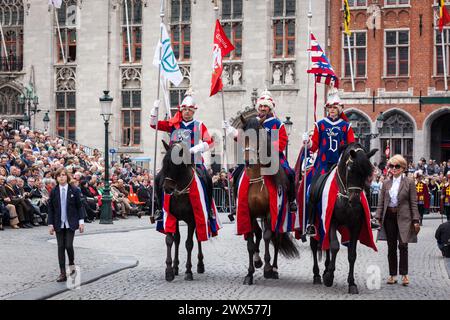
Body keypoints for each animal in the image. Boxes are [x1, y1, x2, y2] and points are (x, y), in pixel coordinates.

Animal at [155, 141, 209, 282]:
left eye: (175, 165)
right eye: (164, 163)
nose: (167, 188)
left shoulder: (192, 220)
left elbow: (189, 243)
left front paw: (188, 271)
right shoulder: (171, 217)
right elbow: (170, 240)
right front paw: (169, 271)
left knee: (198, 237)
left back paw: (200, 265)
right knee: (177, 239)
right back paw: (175, 267)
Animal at [308, 144, 378, 294]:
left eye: (367, 172)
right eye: (351, 169)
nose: (355, 200)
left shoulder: (356, 226)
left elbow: (352, 254)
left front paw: (351, 283)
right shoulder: (332, 221)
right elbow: (335, 246)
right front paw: (329, 277)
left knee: (325, 245)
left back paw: (325, 268)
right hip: (315, 224)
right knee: (314, 245)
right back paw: (317, 275)